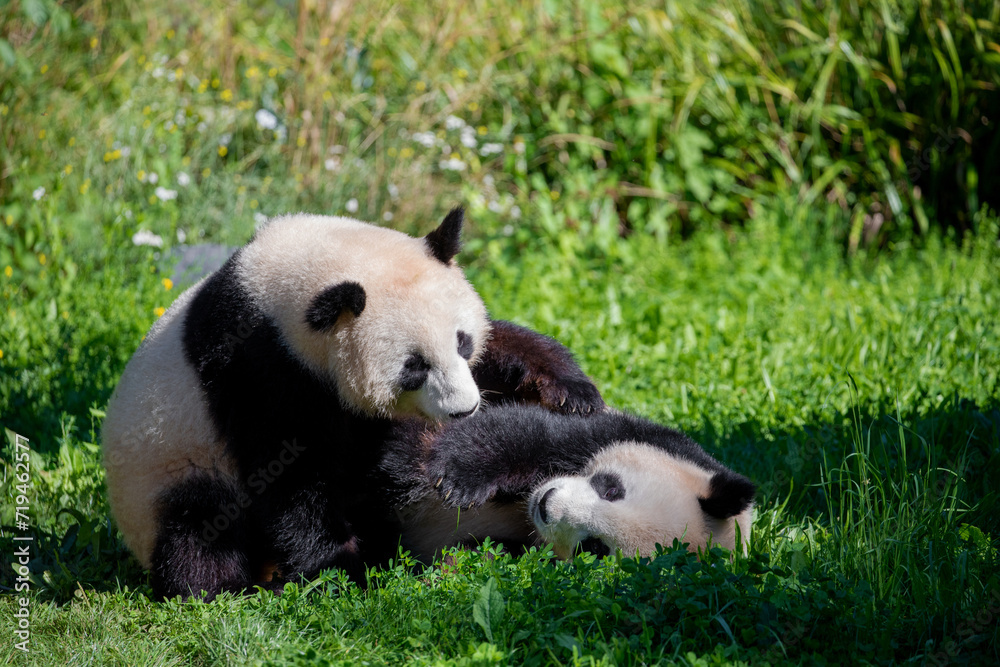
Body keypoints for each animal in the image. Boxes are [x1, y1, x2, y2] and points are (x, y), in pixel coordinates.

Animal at [101, 208, 604, 600]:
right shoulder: (254, 369)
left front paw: (569, 391)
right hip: (167, 472)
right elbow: (289, 475)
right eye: (413, 367)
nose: (464, 411)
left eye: (462, 342)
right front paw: (345, 569)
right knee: (200, 527)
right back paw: (228, 589)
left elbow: (505, 345)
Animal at [381, 405, 755, 560]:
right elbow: (528, 432)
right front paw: (459, 476)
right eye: (612, 490)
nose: (547, 505)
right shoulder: (621, 433)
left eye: (595, 548)